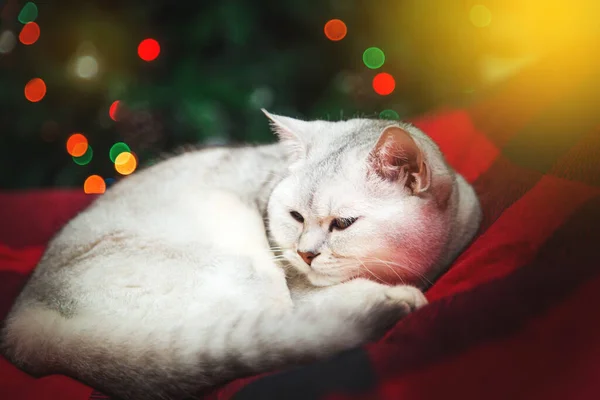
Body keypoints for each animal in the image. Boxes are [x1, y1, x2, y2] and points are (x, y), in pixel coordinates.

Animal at [0, 110, 478, 400]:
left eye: (342, 224)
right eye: (295, 216)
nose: (304, 254)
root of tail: (25, 320)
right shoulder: (301, 290)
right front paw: (394, 295)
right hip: (246, 271)